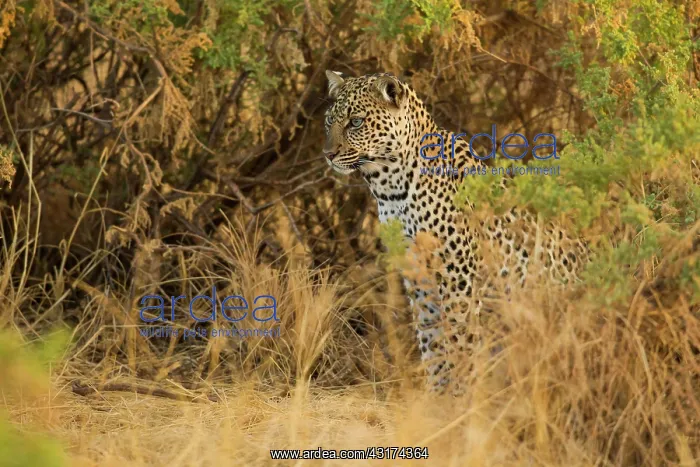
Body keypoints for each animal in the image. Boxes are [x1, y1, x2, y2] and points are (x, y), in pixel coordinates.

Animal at [322, 70, 589, 395]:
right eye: (329, 120)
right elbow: (431, 340)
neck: (391, 189)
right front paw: (437, 395)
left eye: (356, 122)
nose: (328, 154)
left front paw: (461, 394)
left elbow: (459, 339)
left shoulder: (457, 274)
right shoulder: (417, 274)